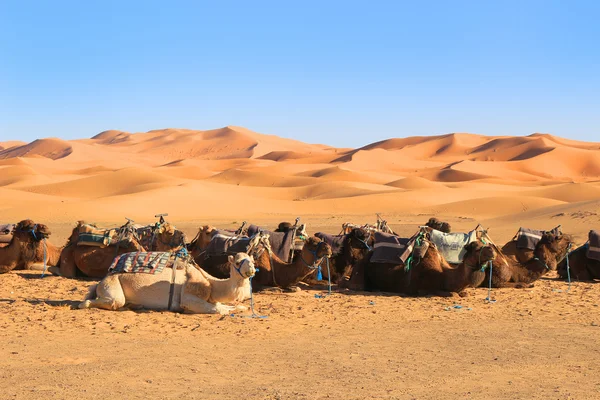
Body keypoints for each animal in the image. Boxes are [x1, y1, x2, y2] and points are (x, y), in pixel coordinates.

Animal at [79, 252, 255, 314]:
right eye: (237, 262)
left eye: (253, 260)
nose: (251, 270)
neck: (210, 284)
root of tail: (101, 280)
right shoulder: (187, 297)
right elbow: (219, 310)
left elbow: (229, 306)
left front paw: (242, 307)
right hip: (113, 286)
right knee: (104, 301)